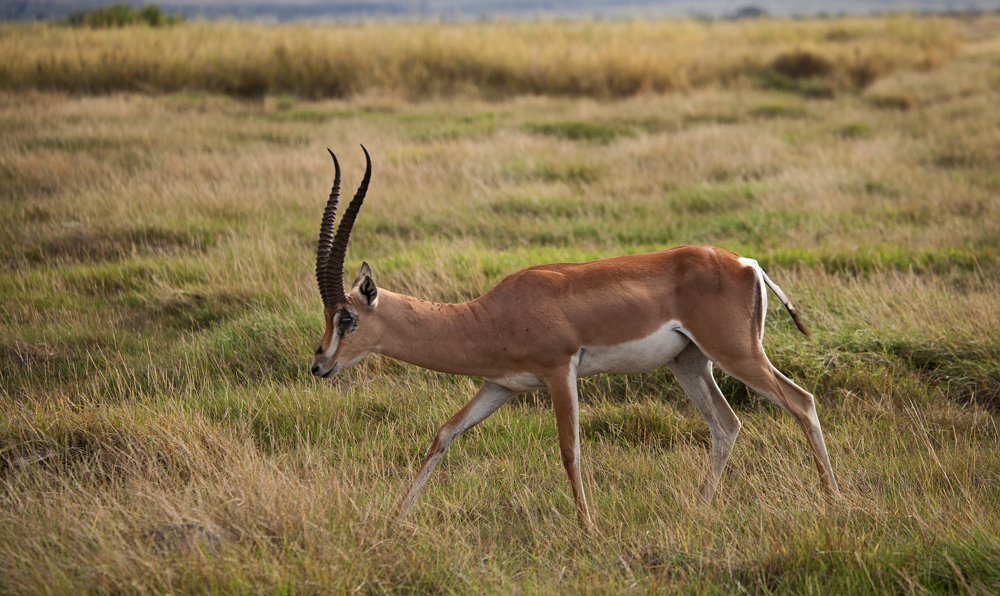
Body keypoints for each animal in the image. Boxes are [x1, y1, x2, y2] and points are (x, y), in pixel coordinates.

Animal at [312, 146, 839, 529]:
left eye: (347, 318)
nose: (319, 365)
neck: (490, 315)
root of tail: (745, 263)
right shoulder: (500, 385)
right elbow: (445, 432)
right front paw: (395, 519)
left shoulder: (559, 371)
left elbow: (570, 451)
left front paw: (588, 528)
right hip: (691, 362)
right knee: (726, 424)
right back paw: (700, 510)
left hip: (738, 354)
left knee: (801, 402)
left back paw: (834, 501)